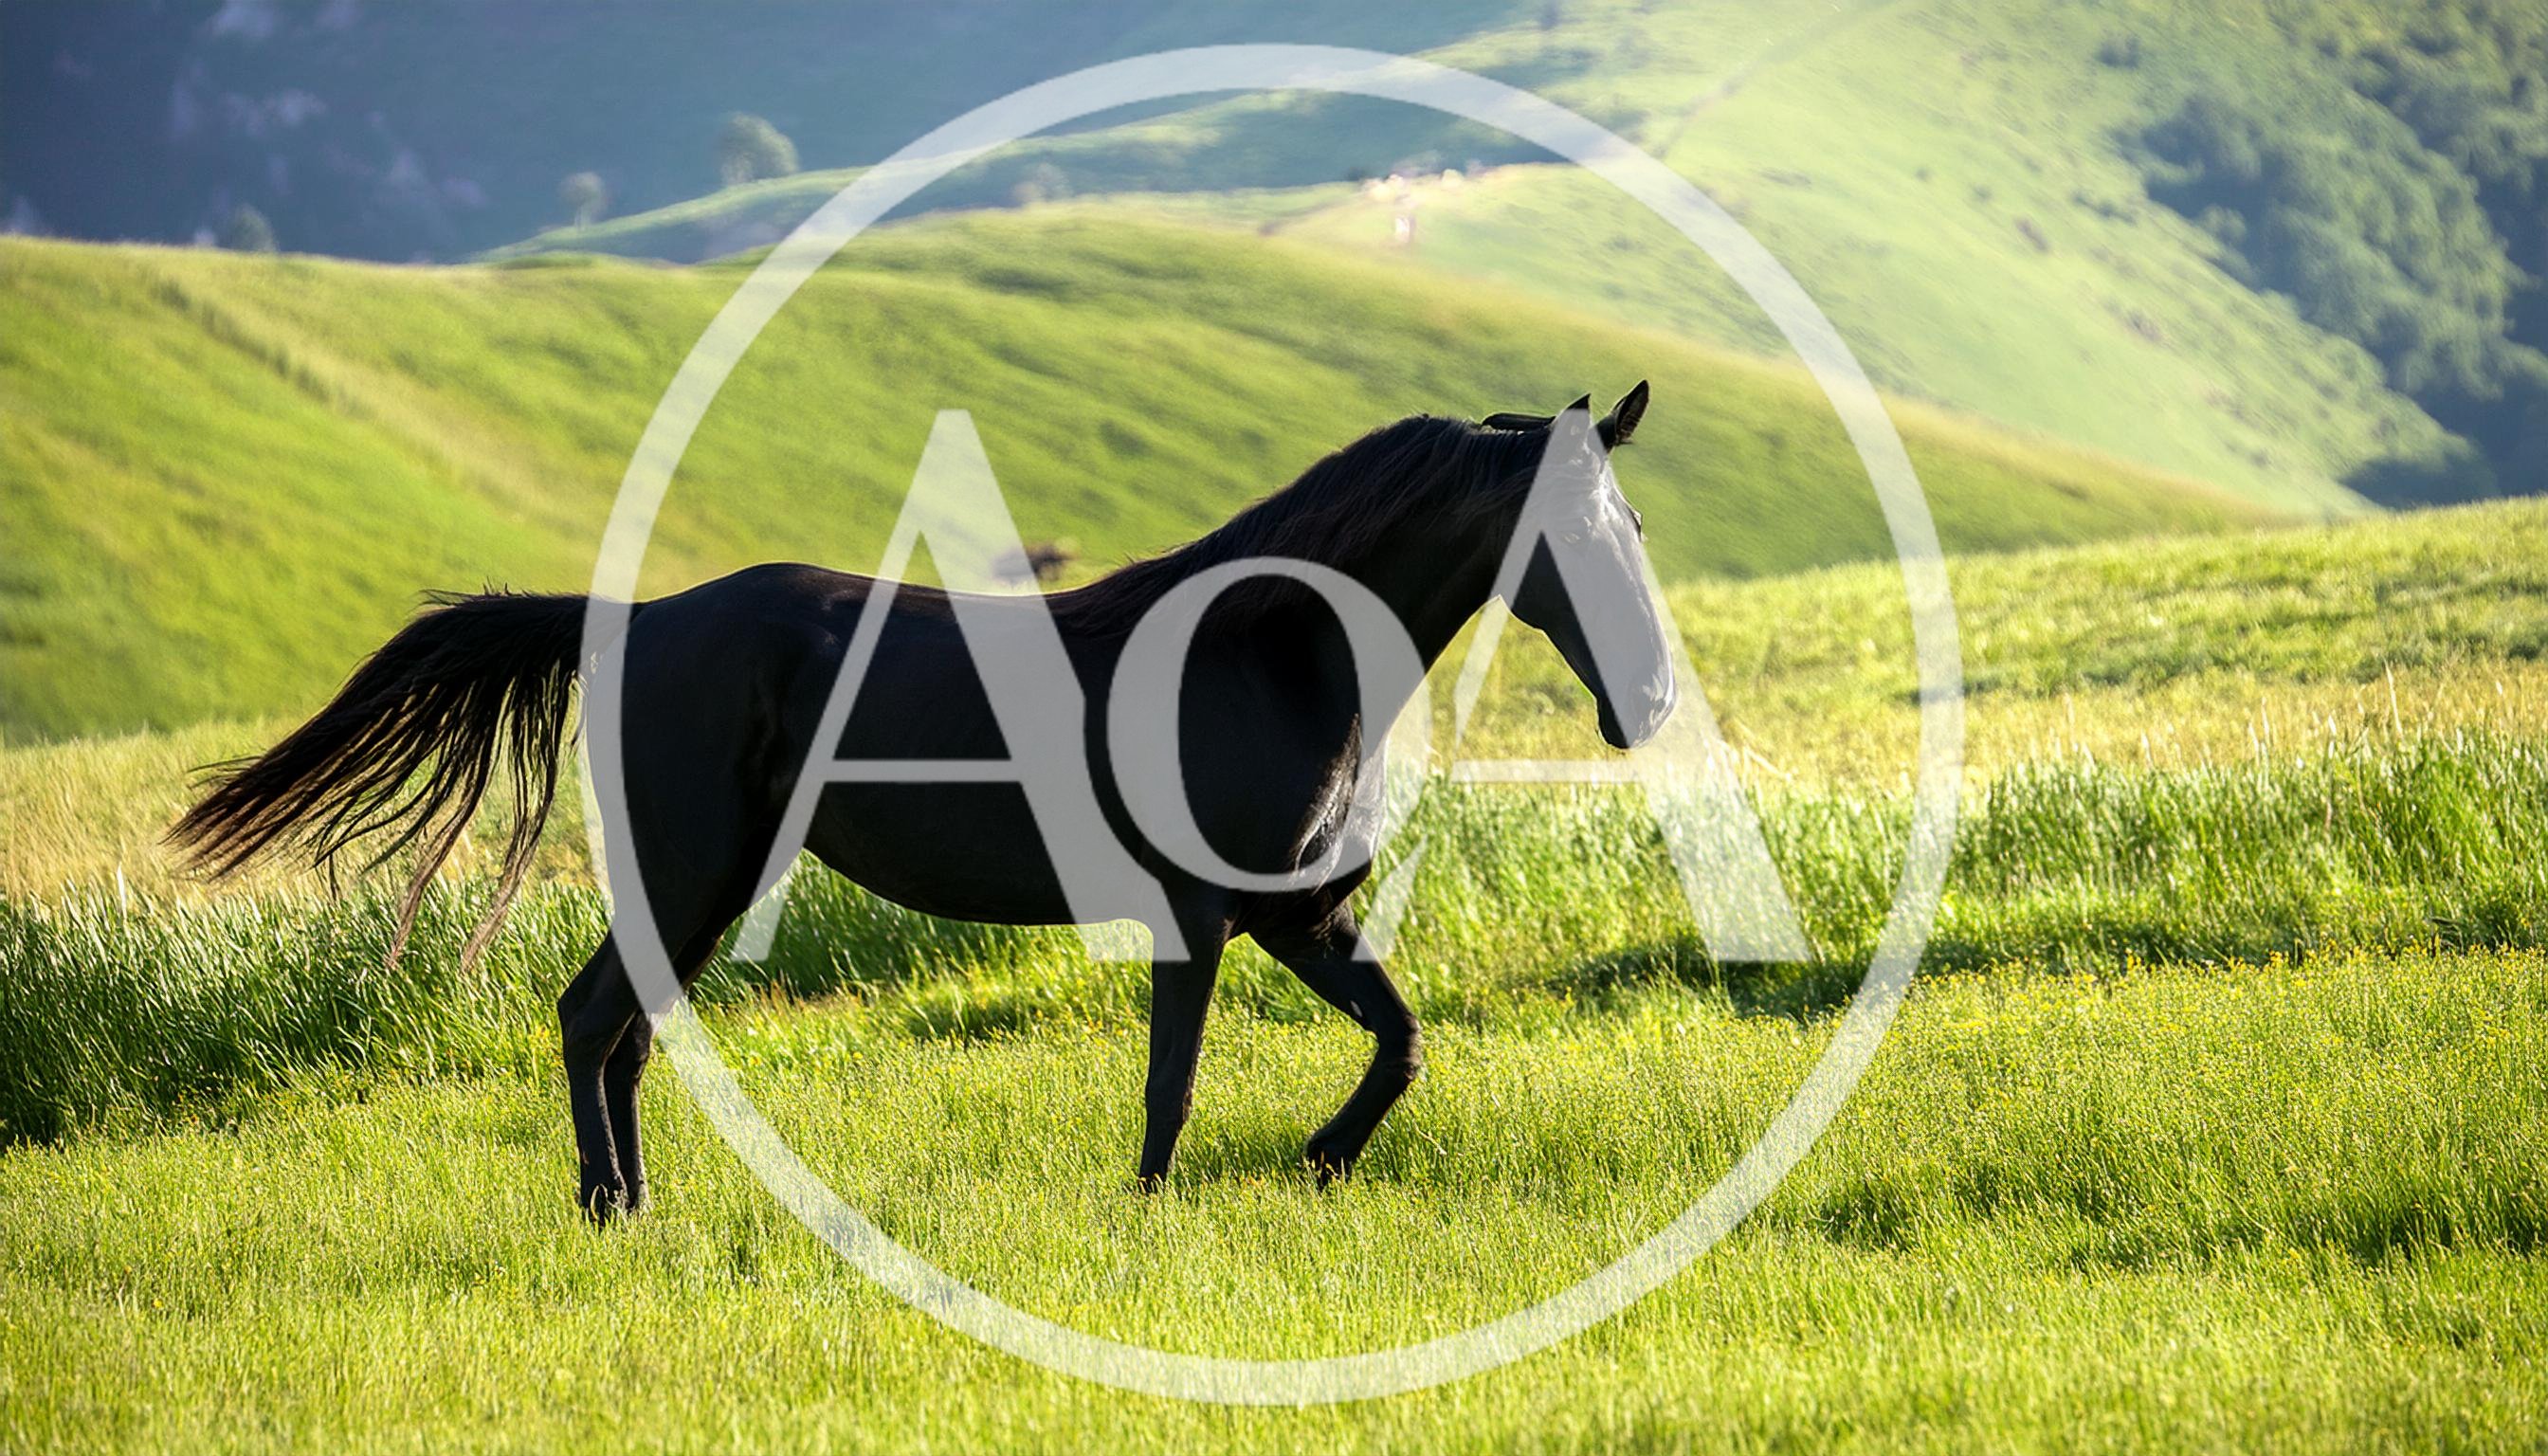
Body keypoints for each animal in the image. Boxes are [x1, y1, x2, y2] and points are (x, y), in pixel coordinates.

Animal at [169, 383, 1675, 1219]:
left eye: (1636, 523)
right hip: (691, 864)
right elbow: (1173, 1086)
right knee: (592, 1019)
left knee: (626, 1033)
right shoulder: (1202, 916)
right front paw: (1152, 1216)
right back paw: (609, 1213)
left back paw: (636, 1208)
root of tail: (631, 621)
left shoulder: (1298, 911)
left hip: (712, 882)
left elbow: (1402, 1043)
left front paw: (1318, 1161)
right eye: (1569, 534)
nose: (1650, 701)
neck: (1265, 649)